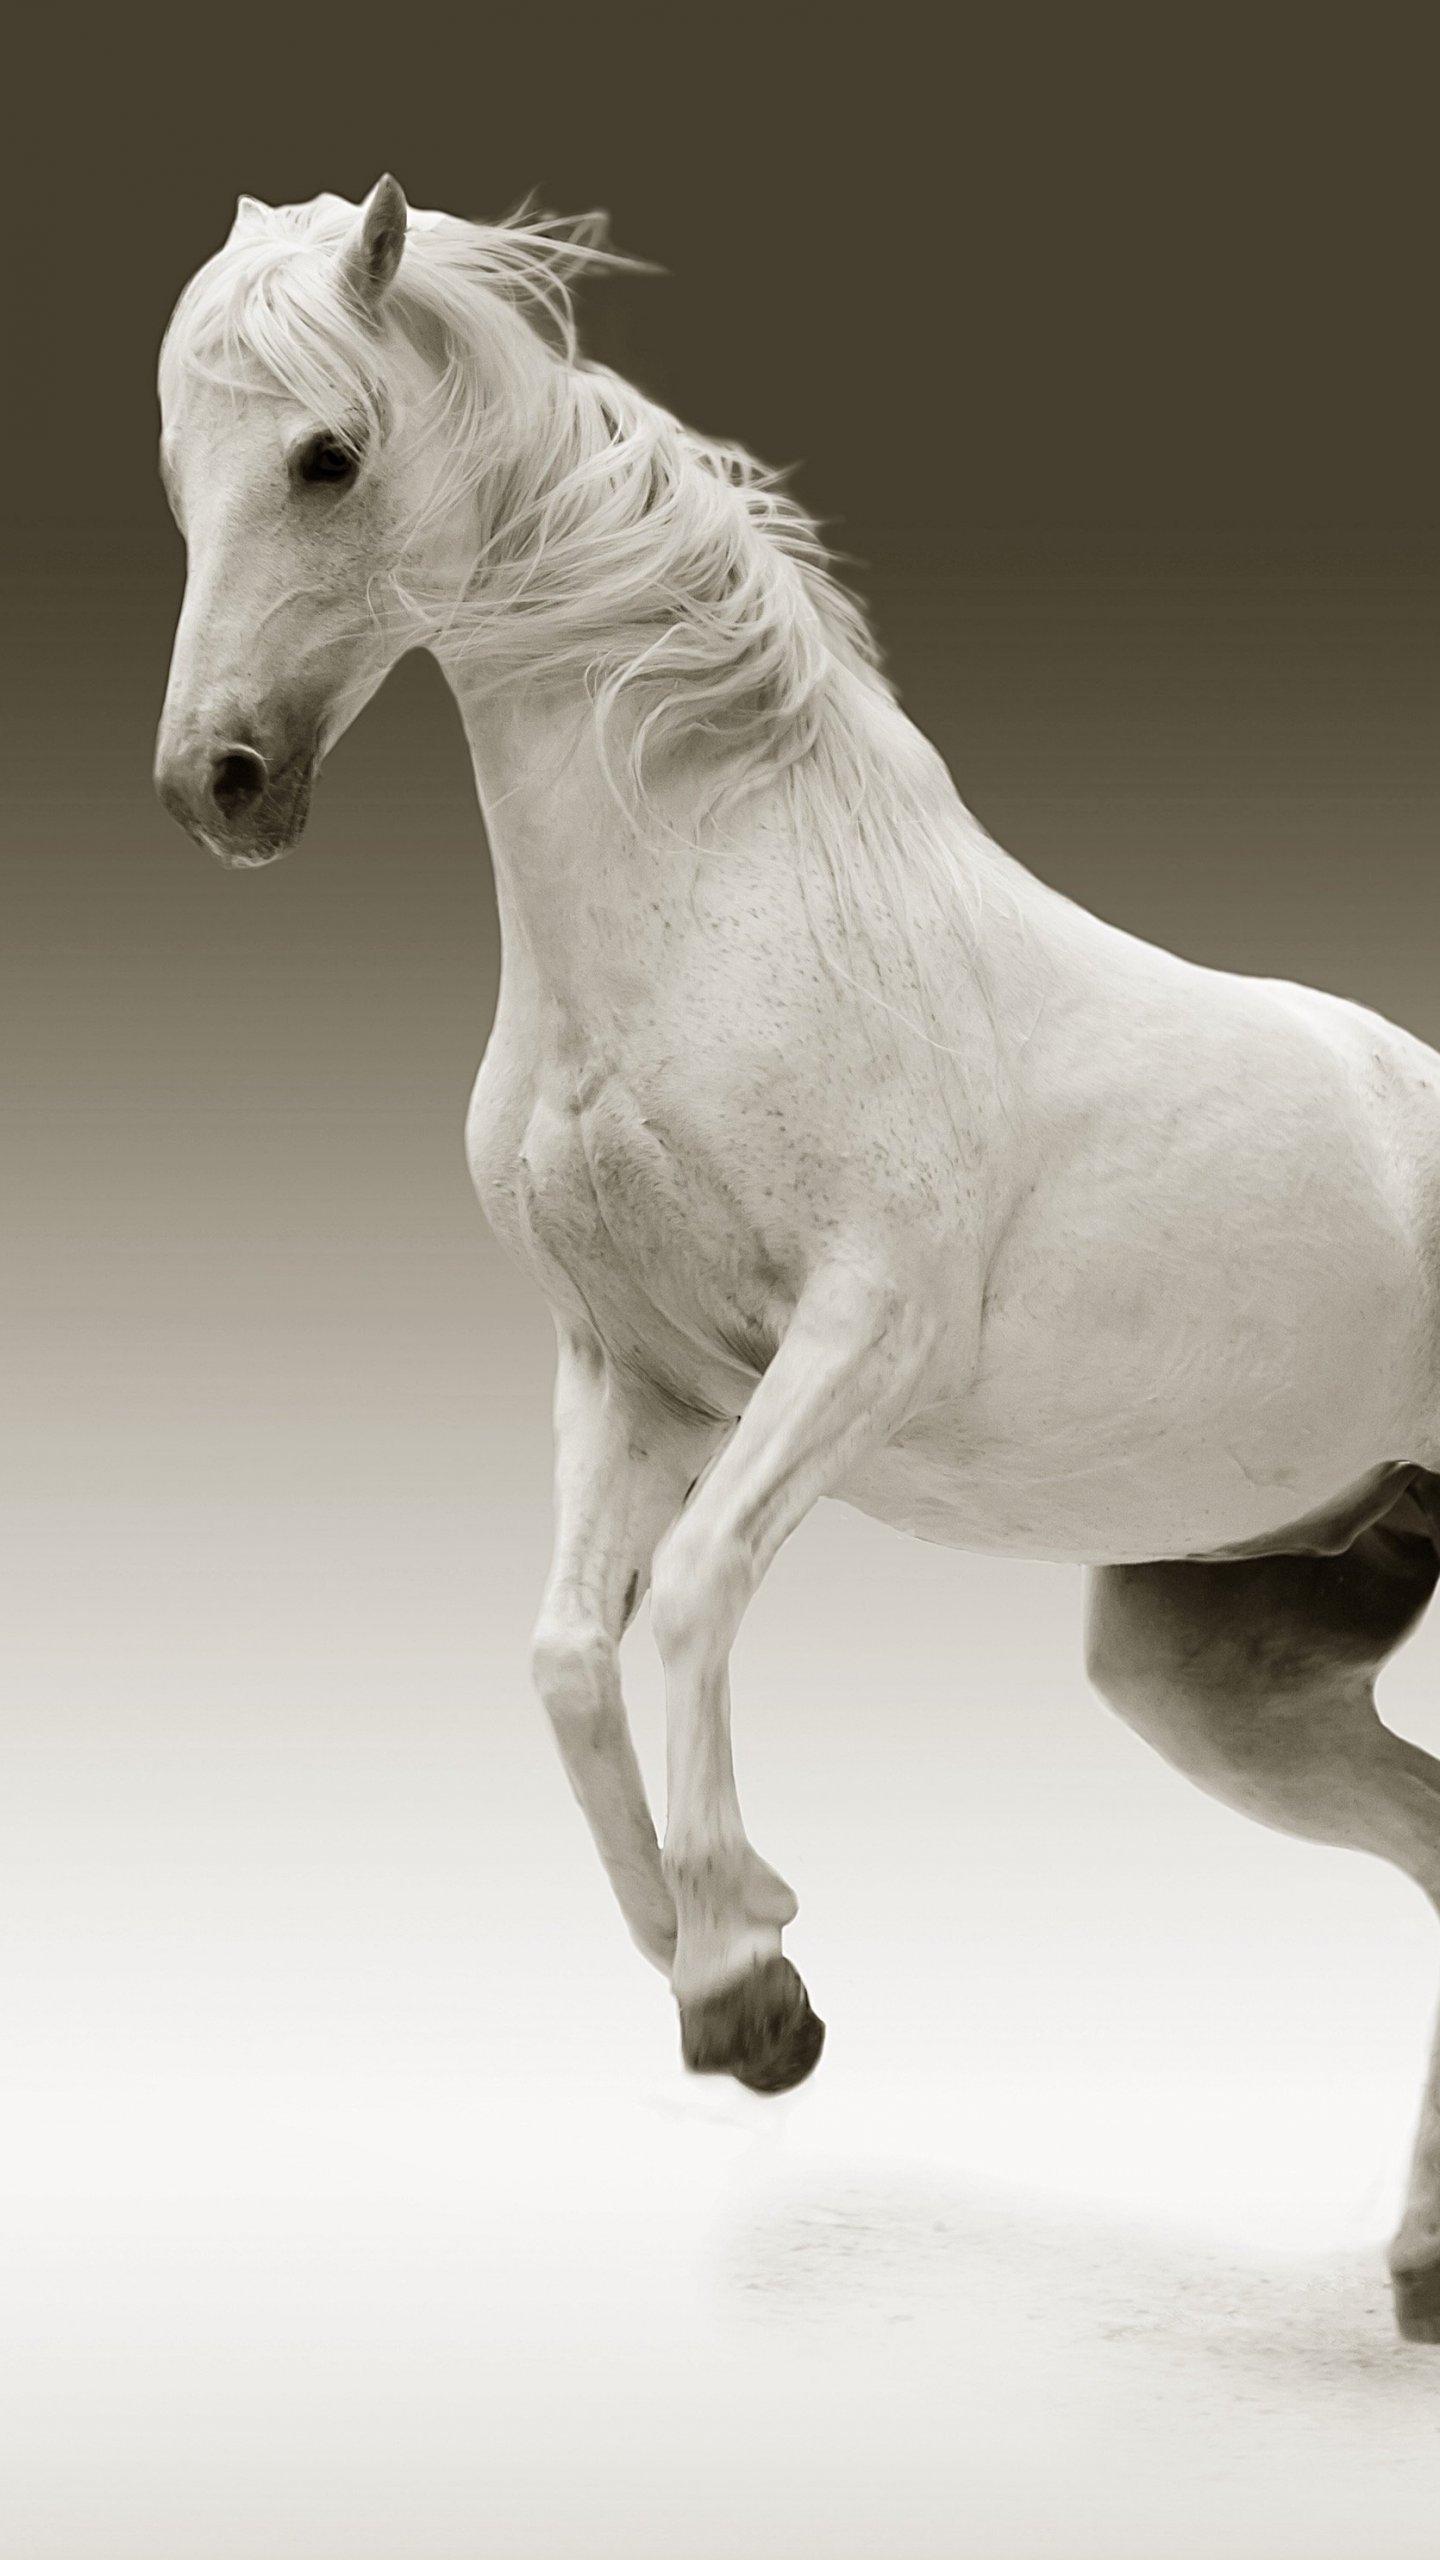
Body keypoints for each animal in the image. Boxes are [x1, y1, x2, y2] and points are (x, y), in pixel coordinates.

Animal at [155, 177, 1440, 2343]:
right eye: (181, 470)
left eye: (326, 455)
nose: (216, 786)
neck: (728, 906)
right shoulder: (633, 1371)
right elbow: (564, 1649)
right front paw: (708, 1957)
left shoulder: (856, 1344)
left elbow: (683, 1601)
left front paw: (751, 1982)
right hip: (1214, 1661)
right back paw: (1419, 2259)